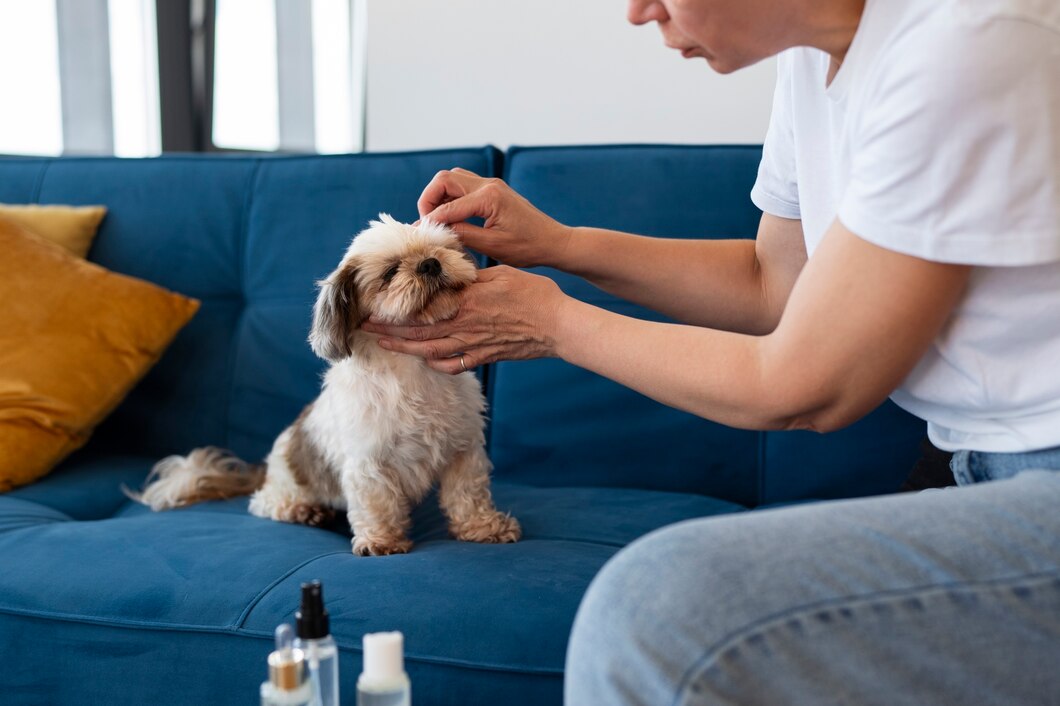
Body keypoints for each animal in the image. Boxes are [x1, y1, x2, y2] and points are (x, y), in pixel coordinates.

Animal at [132, 214, 521, 555]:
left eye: (441, 249)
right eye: (390, 272)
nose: (429, 264)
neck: (413, 371)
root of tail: (266, 468)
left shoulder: (464, 449)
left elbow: (467, 494)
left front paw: (484, 527)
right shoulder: (368, 463)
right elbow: (377, 504)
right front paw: (380, 541)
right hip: (289, 486)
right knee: (264, 503)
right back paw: (304, 511)